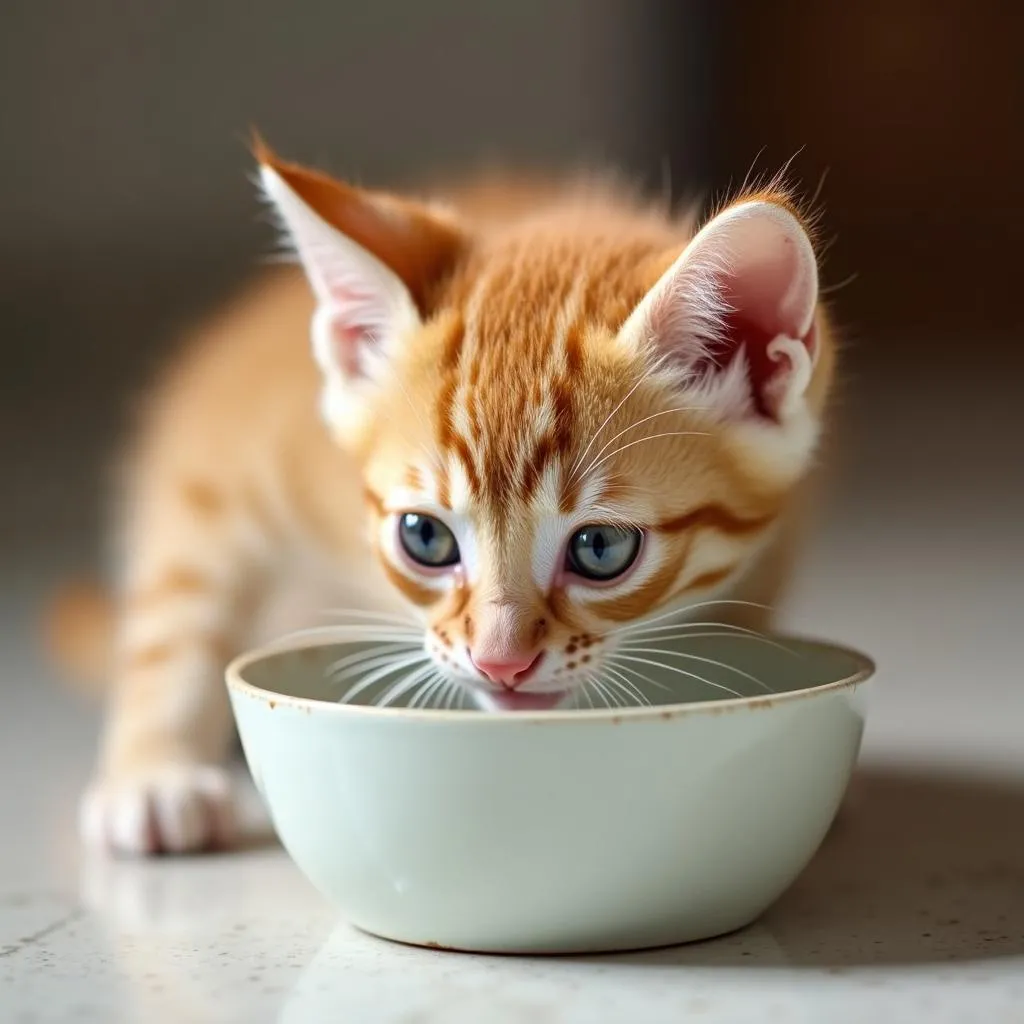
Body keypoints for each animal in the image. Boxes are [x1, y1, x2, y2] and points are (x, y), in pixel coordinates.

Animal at [51, 140, 831, 851]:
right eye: (424, 537)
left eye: (601, 548)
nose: (499, 662)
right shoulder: (228, 446)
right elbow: (178, 604)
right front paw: (153, 773)